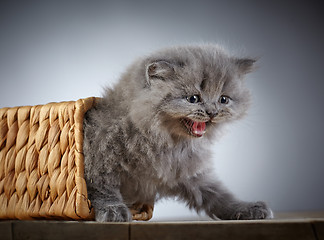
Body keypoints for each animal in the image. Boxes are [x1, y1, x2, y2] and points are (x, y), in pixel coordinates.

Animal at [83, 44, 274, 221]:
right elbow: (103, 189)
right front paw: (114, 211)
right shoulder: (98, 158)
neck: (166, 142)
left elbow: (218, 195)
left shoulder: (189, 174)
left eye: (223, 99)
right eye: (193, 99)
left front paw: (247, 208)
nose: (212, 112)